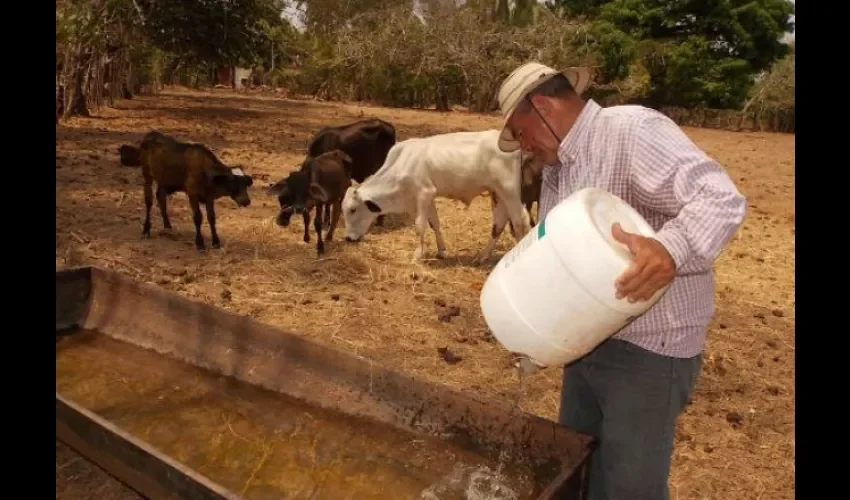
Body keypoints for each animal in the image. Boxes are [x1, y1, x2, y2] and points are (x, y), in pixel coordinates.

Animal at [118, 131, 252, 252]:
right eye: (233, 183)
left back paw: (168, 227)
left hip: (163, 179)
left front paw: (215, 242)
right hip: (147, 176)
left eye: (245, 184)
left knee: (161, 197)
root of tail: (151, 135)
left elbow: (212, 218)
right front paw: (200, 243)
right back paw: (146, 230)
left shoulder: (209, 197)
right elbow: (198, 217)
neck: (206, 171)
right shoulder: (192, 194)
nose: (246, 201)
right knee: (149, 200)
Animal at [340, 128, 528, 262]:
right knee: (499, 223)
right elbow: (434, 223)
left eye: (352, 210)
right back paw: (482, 256)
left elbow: (420, 225)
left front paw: (418, 255)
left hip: (510, 191)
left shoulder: (424, 193)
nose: (348, 238)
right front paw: (442, 251)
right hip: (497, 193)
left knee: (519, 222)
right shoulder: (428, 196)